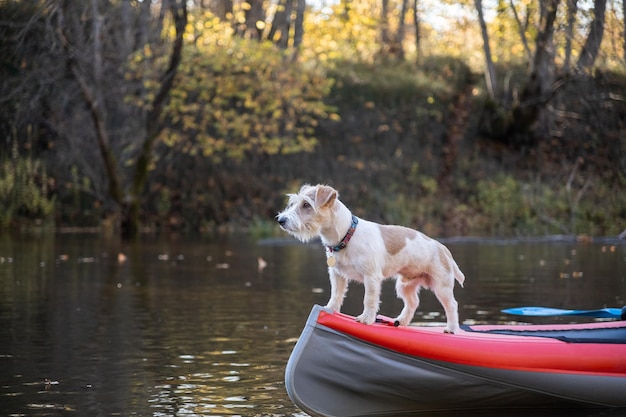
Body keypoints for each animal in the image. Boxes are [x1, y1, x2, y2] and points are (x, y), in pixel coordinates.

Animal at [276, 184, 464, 334]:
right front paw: (329, 309)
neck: (346, 235)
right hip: (405, 285)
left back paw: (451, 329)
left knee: (452, 305)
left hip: (441, 286)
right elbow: (336, 294)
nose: (280, 220)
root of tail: (442, 248)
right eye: (293, 203)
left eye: (306, 204)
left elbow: (369, 299)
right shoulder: (337, 275)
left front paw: (366, 319)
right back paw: (401, 321)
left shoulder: (371, 277)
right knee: (412, 303)